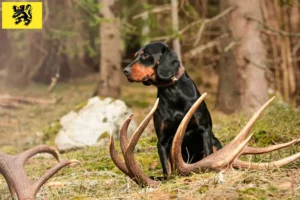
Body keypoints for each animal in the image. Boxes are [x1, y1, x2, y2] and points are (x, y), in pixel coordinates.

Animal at [122, 42, 223, 175]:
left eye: (146, 55)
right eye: (135, 55)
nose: (125, 71)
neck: (172, 93)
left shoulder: (204, 129)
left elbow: (208, 154)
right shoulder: (162, 141)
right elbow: (167, 170)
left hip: (215, 142)